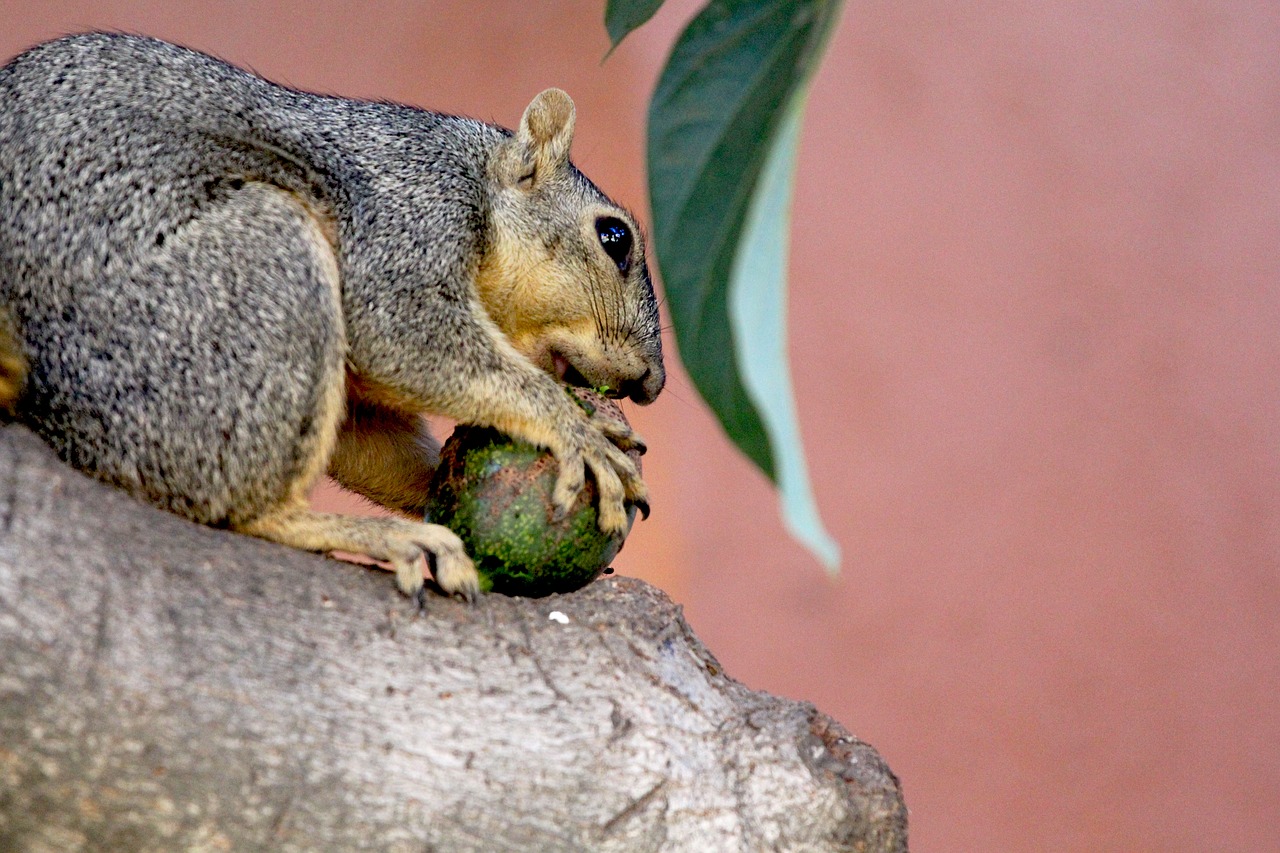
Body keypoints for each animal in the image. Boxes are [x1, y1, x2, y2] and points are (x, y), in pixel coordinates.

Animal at [2, 33, 670, 596]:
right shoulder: (409, 210)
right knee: (237, 508)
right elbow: (400, 329)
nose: (651, 383)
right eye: (614, 238)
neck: (476, 182)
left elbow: (367, 436)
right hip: (237, 294)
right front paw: (572, 426)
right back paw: (370, 535)